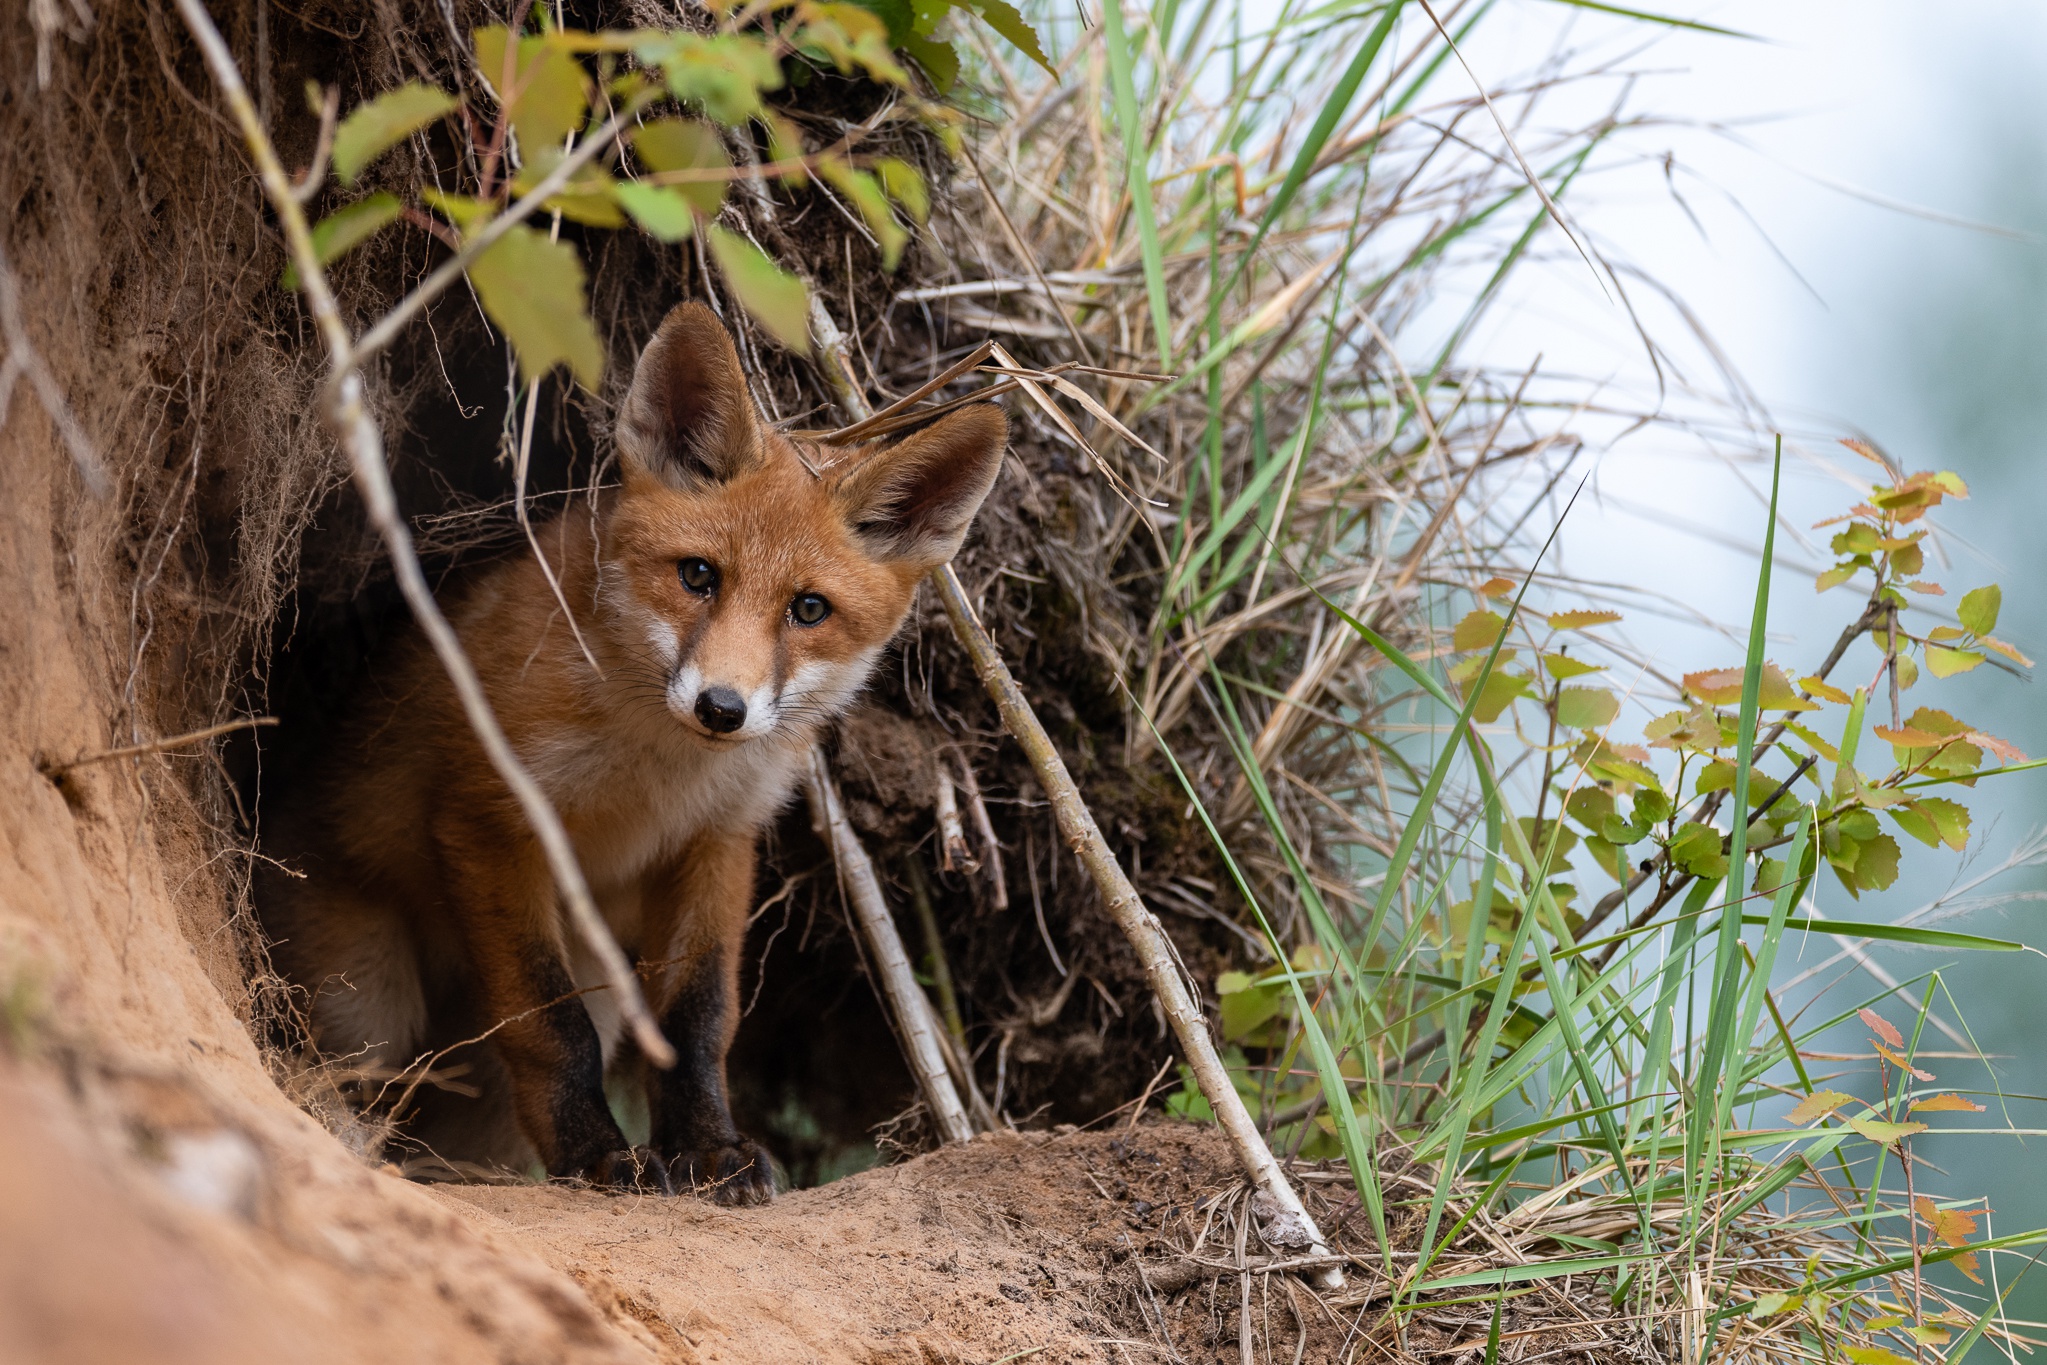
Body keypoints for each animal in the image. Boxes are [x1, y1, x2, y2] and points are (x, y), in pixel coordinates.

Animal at [259, 304, 1011, 1203]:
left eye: (808, 609)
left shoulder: (717, 840)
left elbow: (699, 1020)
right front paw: (597, 1155)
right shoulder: (493, 817)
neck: (658, 771)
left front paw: (709, 1148)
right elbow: (549, 1024)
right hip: (368, 997)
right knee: (358, 1076)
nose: (722, 707)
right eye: (697, 575)